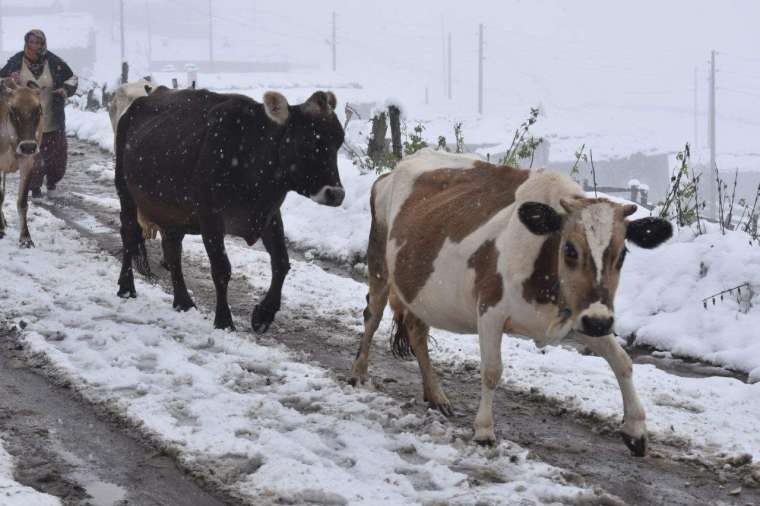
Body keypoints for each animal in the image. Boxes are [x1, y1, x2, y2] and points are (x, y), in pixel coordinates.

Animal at [0, 78, 43, 247]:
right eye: (13, 110)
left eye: (38, 109)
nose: (28, 147)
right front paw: (0, 230)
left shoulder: (28, 162)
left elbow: (22, 202)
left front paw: (25, 238)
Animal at [350, 149, 672, 454]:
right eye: (570, 249)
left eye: (622, 255)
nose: (599, 322)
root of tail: (393, 171)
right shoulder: (490, 311)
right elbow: (492, 371)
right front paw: (484, 430)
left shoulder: (581, 314)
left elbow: (622, 362)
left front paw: (636, 430)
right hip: (379, 263)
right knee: (372, 316)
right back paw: (359, 373)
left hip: (419, 290)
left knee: (417, 331)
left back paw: (436, 395)